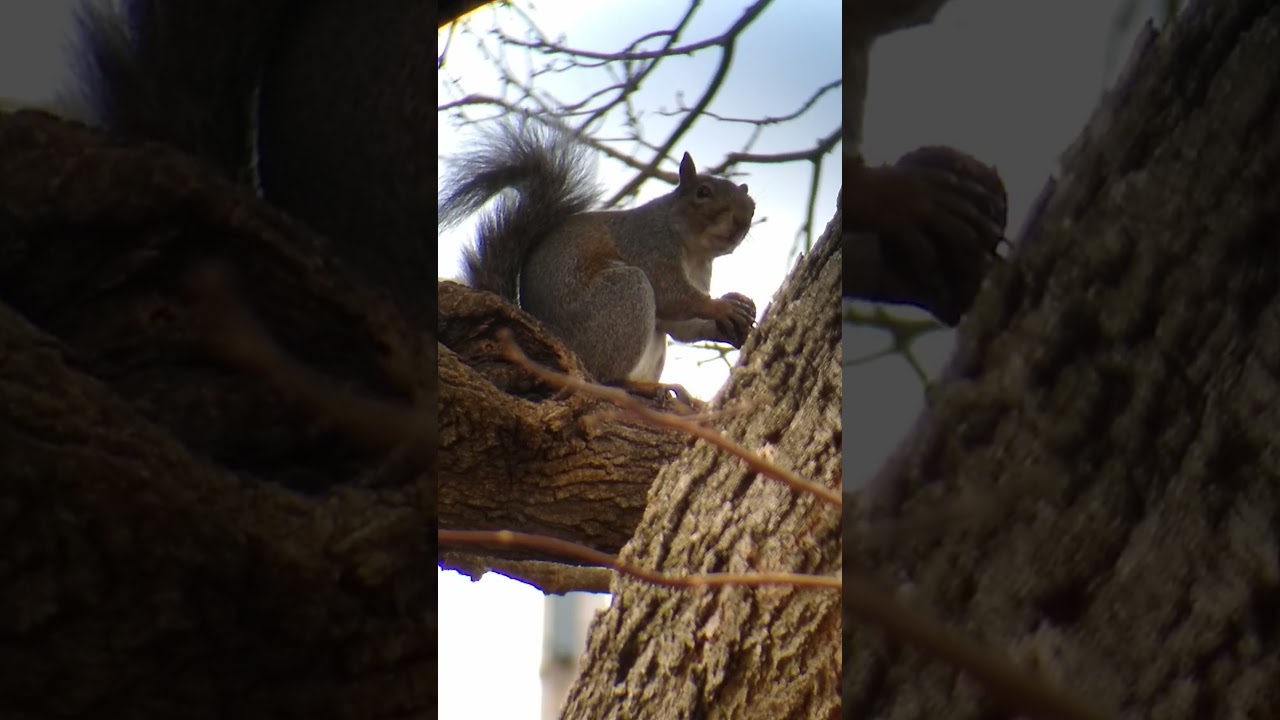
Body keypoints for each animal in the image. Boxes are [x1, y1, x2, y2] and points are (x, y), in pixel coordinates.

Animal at [439, 122, 758, 391]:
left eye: (752, 204)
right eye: (703, 192)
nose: (743, 218)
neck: (694, 251)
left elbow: (680, 327)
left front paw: (733, 320)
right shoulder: (649, 245)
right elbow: (673, 296)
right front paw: (722, 306)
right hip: (622, 297)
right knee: (606, 378)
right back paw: (638, 387)